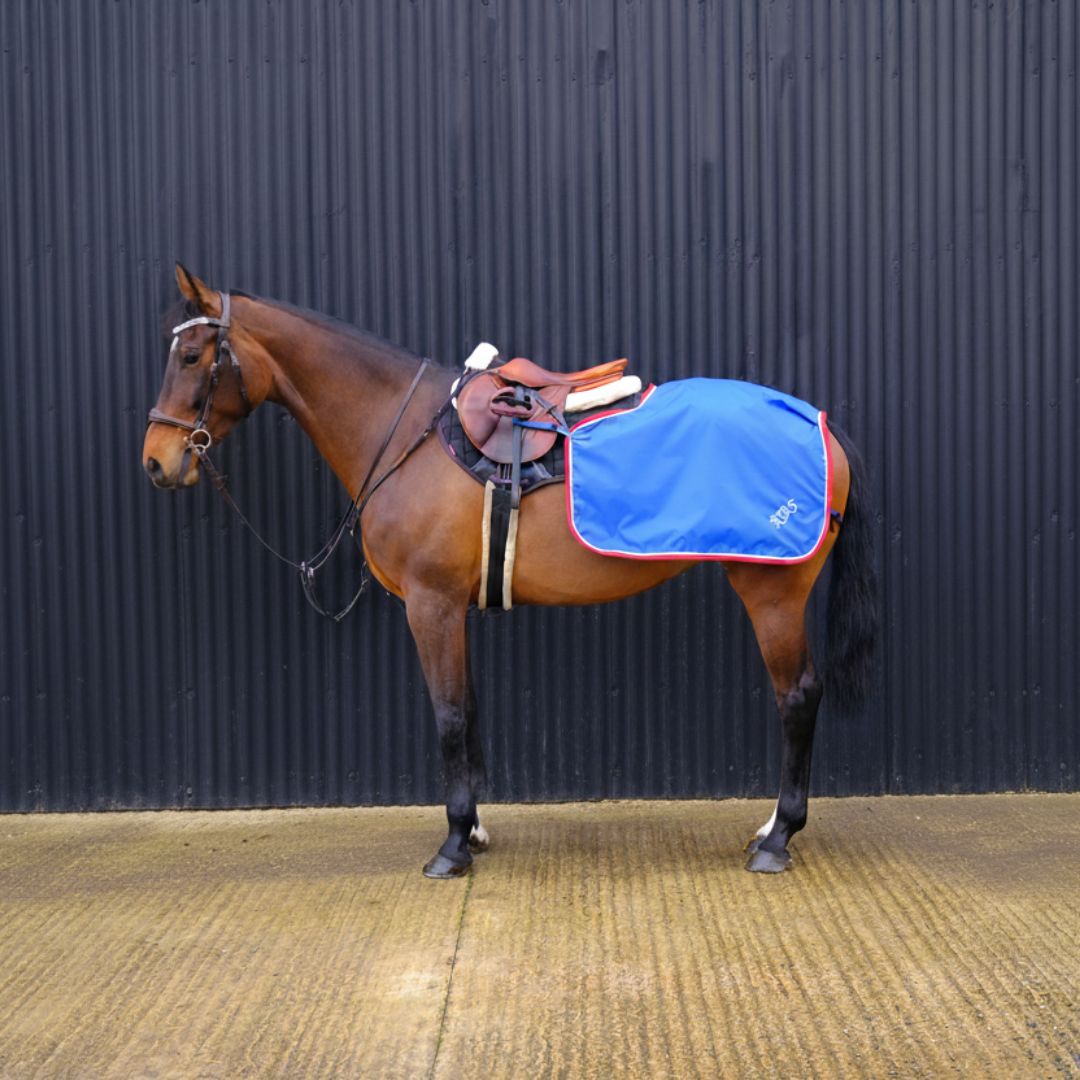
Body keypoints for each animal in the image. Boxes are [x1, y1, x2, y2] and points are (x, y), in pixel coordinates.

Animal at [143, 265, 878, 878]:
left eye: (190, 356)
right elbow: (467, 707)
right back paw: (768, 828)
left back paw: (779, 839)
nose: (156, 461)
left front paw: (450, 848)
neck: (403, 431)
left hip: (772, 593)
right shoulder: (451, 607)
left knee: (797, 695)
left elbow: (446, 714)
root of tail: (819, 421)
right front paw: (471, 830)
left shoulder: (430, 603)